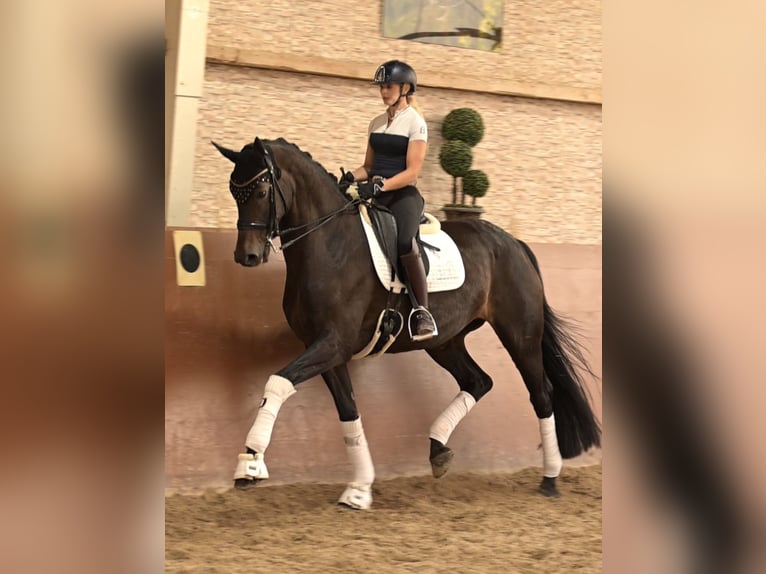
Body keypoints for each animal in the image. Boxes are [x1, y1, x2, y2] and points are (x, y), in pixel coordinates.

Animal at [212, 136, 601, 509]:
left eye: (261, 192)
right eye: (233, 192)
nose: (246, 256)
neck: (330, 246)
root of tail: (513, 243)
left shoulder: (333, 343)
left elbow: (277, 383)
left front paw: (250, 463)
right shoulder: (326, 350)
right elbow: (348, 411)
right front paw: (359, 489)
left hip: (520, 334)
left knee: (542, 394)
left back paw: (549, 479)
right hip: (445, 342)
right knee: (478, 381)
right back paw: (438, 450)